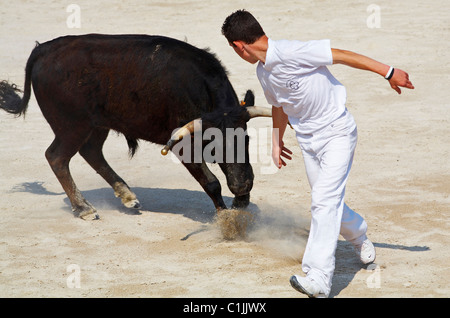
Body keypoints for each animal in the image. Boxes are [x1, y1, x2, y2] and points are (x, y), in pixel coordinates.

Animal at [0, 34, 270, 219]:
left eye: (246, 139)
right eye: (212, 146)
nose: (241, 185)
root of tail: (43, 49)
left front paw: (240, 203)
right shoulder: (182, 145)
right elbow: (211, 182)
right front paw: (225, 219)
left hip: (96, 125)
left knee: (91, 152)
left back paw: (128, 197)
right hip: (71, 126)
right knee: (56, 157)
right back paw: (84, 208)